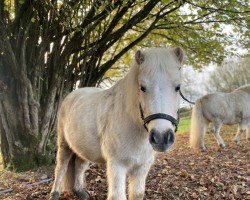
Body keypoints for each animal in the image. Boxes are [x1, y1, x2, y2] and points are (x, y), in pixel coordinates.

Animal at [49, 47, 186, 200]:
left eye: (178, 87)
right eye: (142, 87)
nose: (161, 138)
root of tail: (71, 96)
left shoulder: (141, 167)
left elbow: (137, 194)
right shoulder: (117, 165)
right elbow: (117, 195)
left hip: (82, 147)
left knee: (79, 166)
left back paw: (80, 192)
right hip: (64, 144)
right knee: (61, 168)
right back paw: (55, 194)